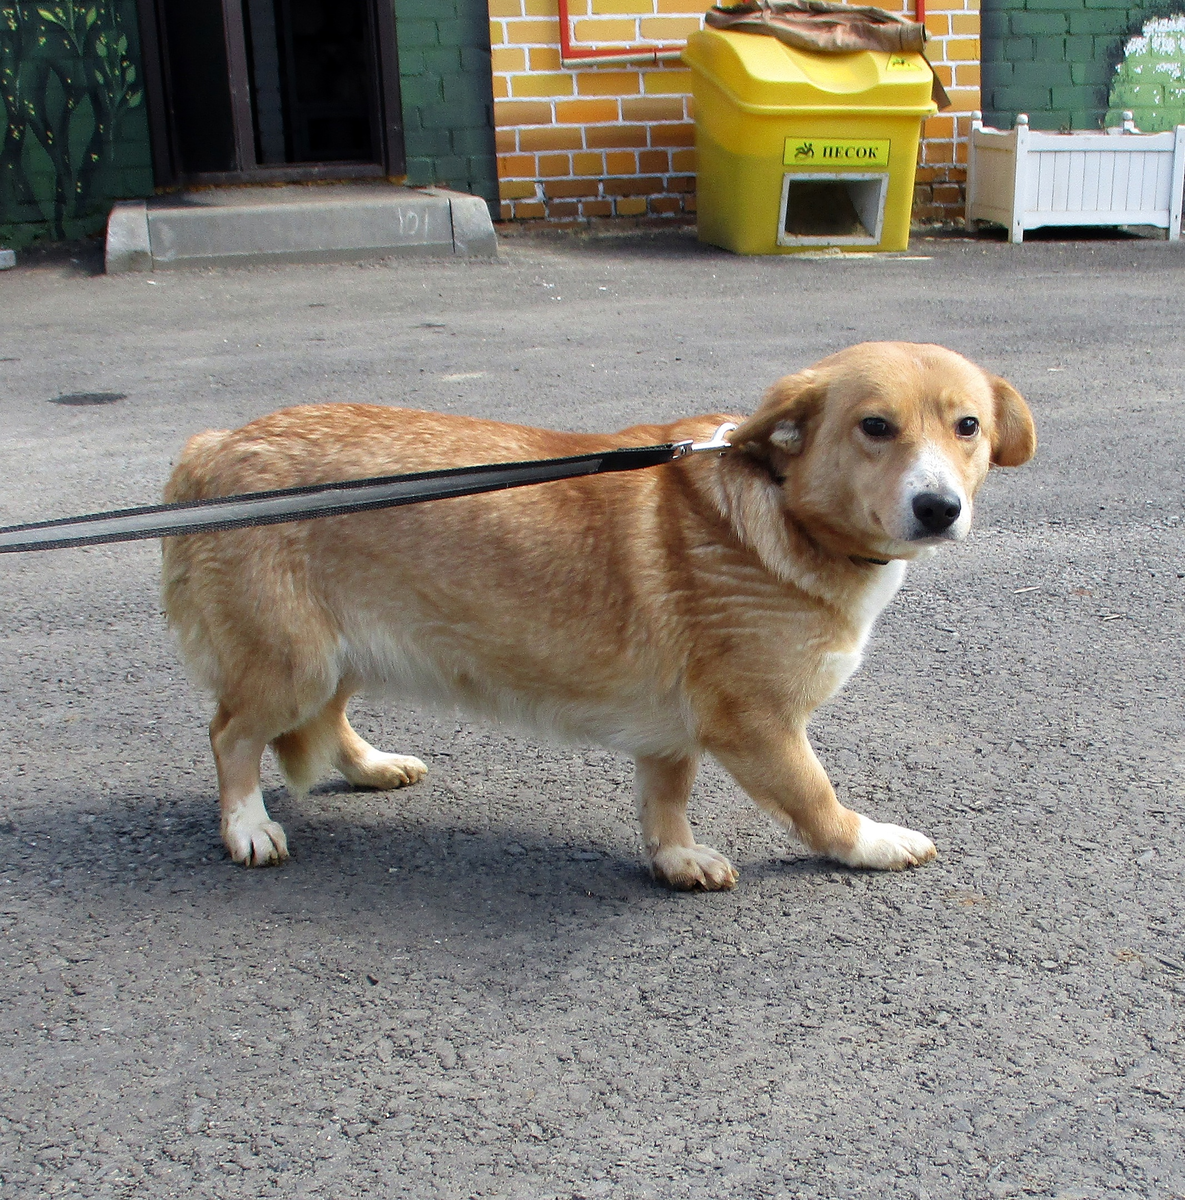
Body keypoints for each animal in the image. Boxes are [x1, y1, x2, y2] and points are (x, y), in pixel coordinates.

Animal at [161, 343, 1031, 888]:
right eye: (874, 426)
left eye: (967, 427)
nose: (938, 508)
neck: (782, 507)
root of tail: (216, 445)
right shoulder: (755, 724)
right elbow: (817, 801)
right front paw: (869, 844)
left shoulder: (675, 730)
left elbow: (665, 799)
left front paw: (675, 859)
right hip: (292, 663)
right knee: (230, 735)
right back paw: (246, 826)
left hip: (340, 653)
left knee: (327, 721)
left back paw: (371, 766)